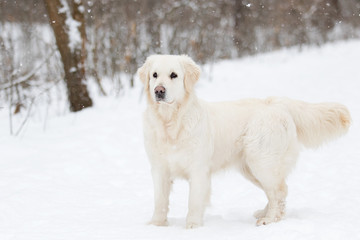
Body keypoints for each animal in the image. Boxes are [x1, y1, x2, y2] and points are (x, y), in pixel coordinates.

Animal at [138, 54, 352, 229]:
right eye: (154, 75)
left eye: (173, 75)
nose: (159, 91)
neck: (170, 123)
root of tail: (277, 103)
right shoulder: (159, 169)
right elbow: (160, 200)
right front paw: (156, 225)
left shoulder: (198, 170)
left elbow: (194, 201)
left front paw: (192, 226)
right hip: (251, 168)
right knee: (276, 191)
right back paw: (264, 213)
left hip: (262, 162)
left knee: (279, 190)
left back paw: (269, 219)